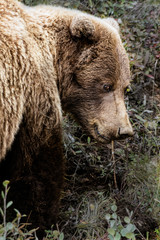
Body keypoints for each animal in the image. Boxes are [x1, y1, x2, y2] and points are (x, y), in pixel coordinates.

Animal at [0, 0, 132, 236]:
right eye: (106, 85)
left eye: (126, 87)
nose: (123, 130)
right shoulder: (33, 91)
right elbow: (38, 165)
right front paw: (39, 223)